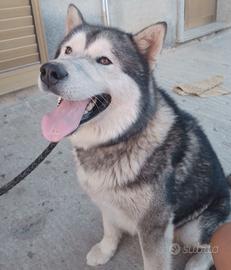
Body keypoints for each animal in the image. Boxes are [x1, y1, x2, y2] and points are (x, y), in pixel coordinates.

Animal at [38, 4, 230, 270]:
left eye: (104, 60)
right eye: (67, 50)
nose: (49, 70)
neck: (120, 137)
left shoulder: (154, 225)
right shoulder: (106, 202)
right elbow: (109, 228)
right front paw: (105, 250)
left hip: (194, 226)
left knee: (212, 243)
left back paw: (196, 263)